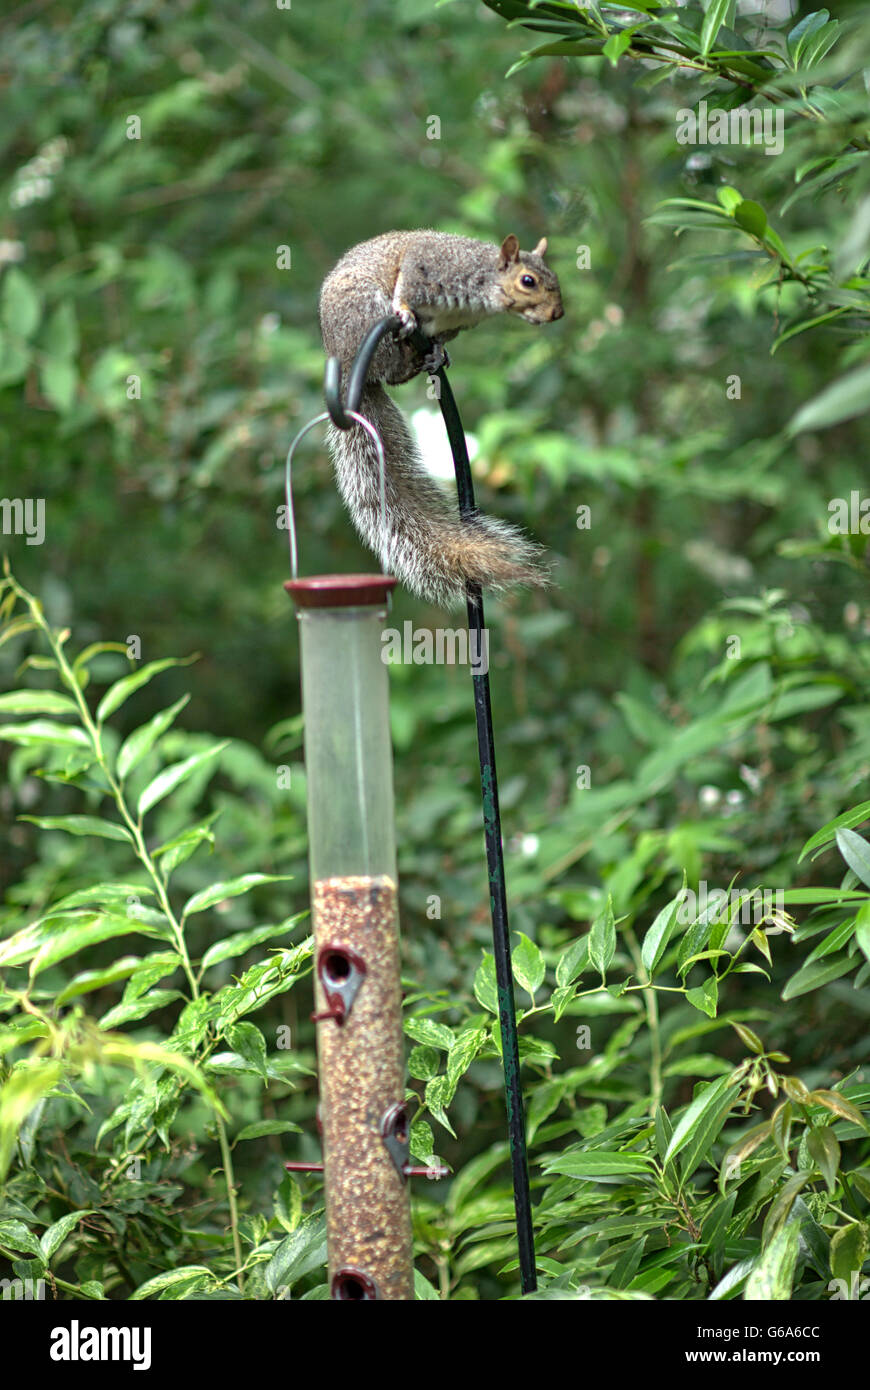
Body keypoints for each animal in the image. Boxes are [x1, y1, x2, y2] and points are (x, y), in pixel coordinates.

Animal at [318, 230, 564, 607]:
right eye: (528, 281)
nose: (558, 313)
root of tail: (346, 367)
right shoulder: (429, 265)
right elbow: (406, 285)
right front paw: (405, 312)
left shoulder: (453, 325)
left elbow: (439, 338)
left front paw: (437, 352)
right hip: (363, 311)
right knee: (387, 362)